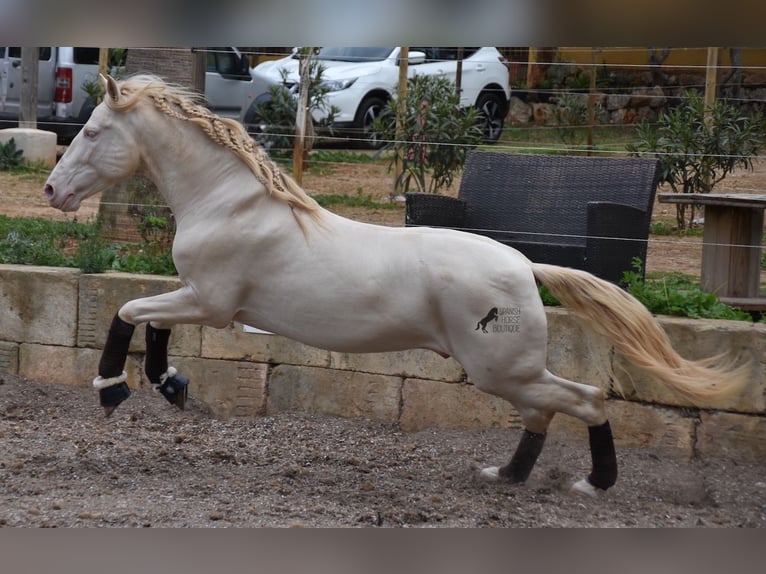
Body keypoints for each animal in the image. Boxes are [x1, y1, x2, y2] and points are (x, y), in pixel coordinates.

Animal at [43, 75, 752, 500]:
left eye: (95, 131)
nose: (52, 191)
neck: (229, 202)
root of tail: (527, 266)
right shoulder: (200, 299)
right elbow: (151, 320)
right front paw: (170, 385)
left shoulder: (211, 303)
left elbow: (129, 308)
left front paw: (112, 389)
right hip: (509, 371)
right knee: (548, 410)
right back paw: (505, 475)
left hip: (501, 368)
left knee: (584, 398)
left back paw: (592, 484)